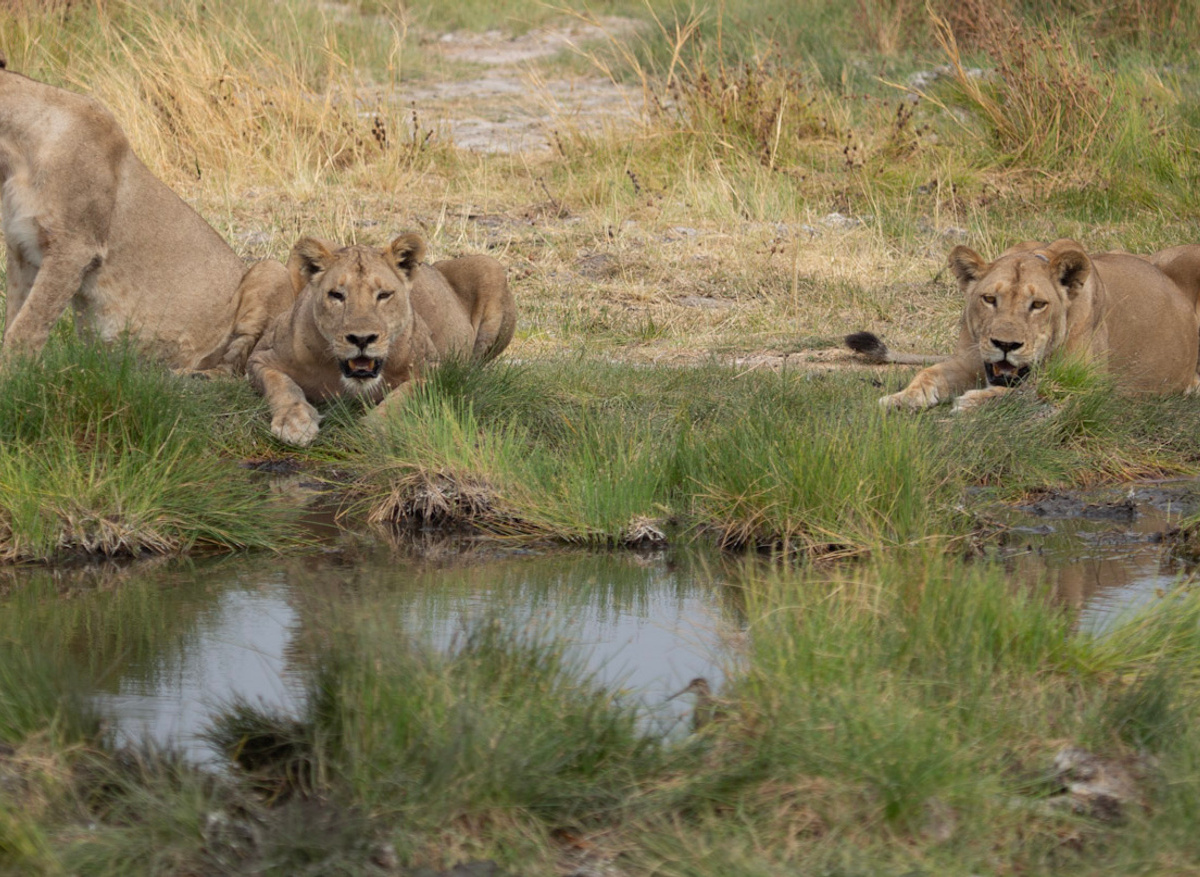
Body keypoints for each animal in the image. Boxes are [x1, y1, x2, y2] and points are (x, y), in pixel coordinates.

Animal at [0, 62, 290, 371]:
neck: (16, 154)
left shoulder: (75, 247)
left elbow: (27, 327)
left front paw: (12, 379)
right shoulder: (22, 248)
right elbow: (14, 318)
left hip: (271, 269)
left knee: (243, 361)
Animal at [247, 233, 515, 446]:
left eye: (384, 295)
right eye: (337, 295)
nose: (361, 339)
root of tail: (435, 265)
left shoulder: (434, 369)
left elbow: (405, 395)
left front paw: (373, 428)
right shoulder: (261, 358)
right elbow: (282, 386)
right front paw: (294, 423)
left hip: (489, 266)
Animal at [849, 239, 1200, 412]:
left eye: (1038, 305)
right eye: (990, 299)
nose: (1005, 346)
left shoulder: (1088, 385)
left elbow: (1036, 389)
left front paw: (973, 400)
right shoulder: (971, 358)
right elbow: (929, 373)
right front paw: (900, 398)